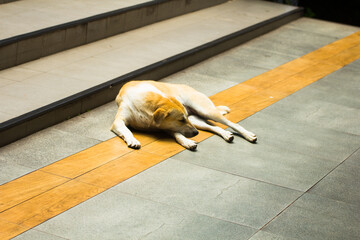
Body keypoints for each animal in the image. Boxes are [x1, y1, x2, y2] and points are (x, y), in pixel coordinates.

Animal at [112, 80, 256, 150]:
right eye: (181, 119)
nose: (196, 133)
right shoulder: (118, 122)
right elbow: (127, 130)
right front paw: (133, 140)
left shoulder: (167, 126)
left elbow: (178, 135)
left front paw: (187, 142)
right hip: (197, 121)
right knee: (214, 127)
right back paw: (226, 135)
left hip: (205, 111)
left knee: (232, 124)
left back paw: (248, 135)